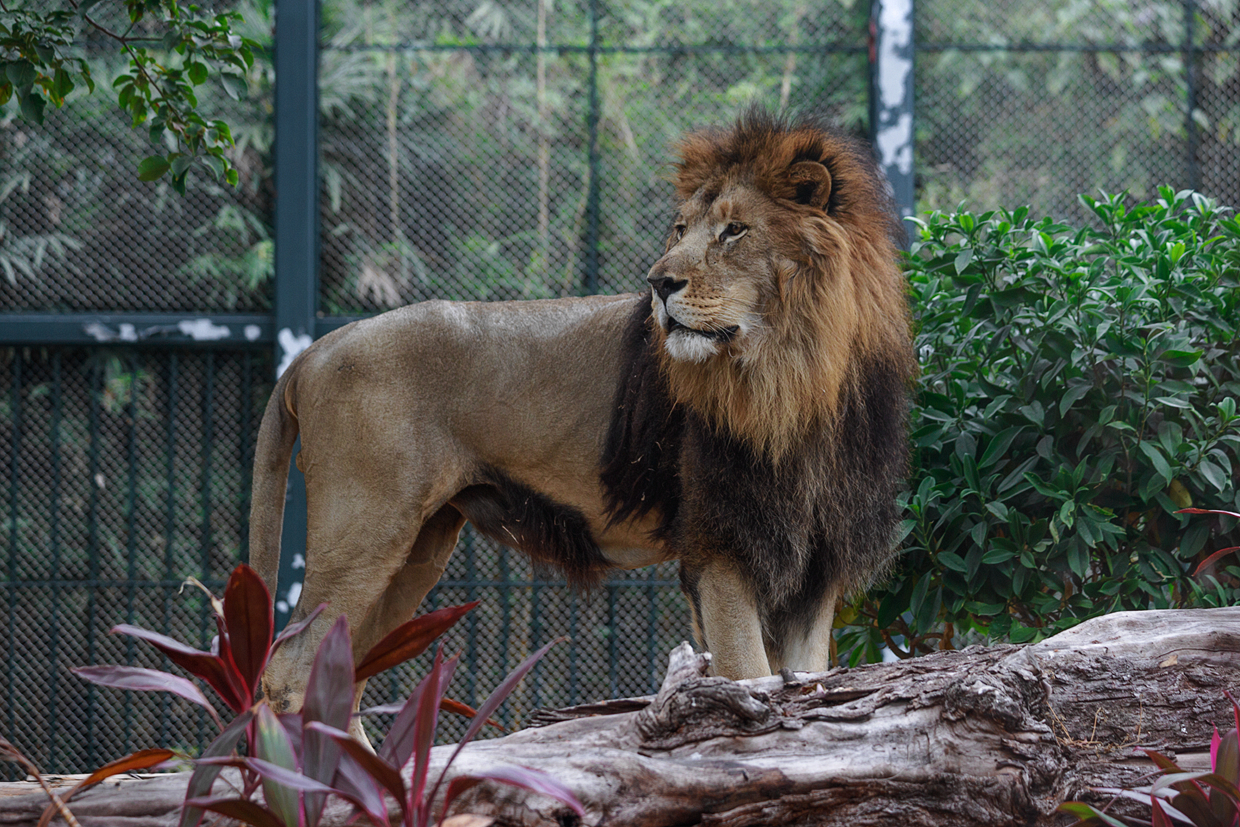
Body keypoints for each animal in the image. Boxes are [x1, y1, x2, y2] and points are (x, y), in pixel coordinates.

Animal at [250, 109, 915, 727]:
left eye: (734, 230)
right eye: (681, 230)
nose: (659, 281)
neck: (797, 377)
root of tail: (318, 347)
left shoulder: (817, 564)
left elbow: (807, 678)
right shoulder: (718, 546)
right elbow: (751, 676)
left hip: (418, 547)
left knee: (346, 677)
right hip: (363, 531)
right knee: (288, 672)